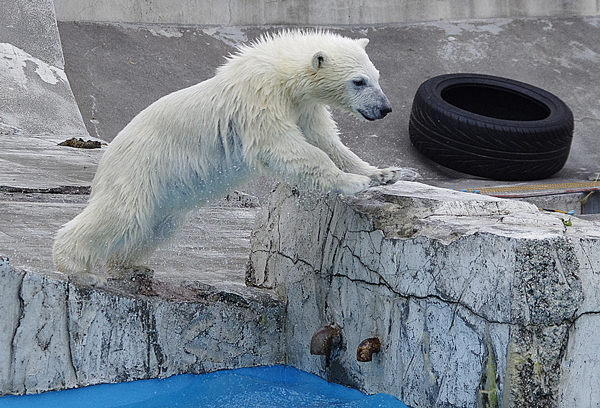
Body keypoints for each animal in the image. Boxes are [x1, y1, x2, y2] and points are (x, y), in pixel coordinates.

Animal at [52, 30, 418, 284]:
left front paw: (384, 173)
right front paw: (352, 182)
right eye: (359, 81)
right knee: (121, 215)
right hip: (138, 170)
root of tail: (107, 156)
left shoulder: (304, 106)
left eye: (377, 77)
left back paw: (130, 265)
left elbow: (327, 141)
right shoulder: (261, 99)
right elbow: (285, 147)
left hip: (163, 197)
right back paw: (78, 269)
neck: (281, 72)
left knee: (154, 227)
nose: (385, 108)